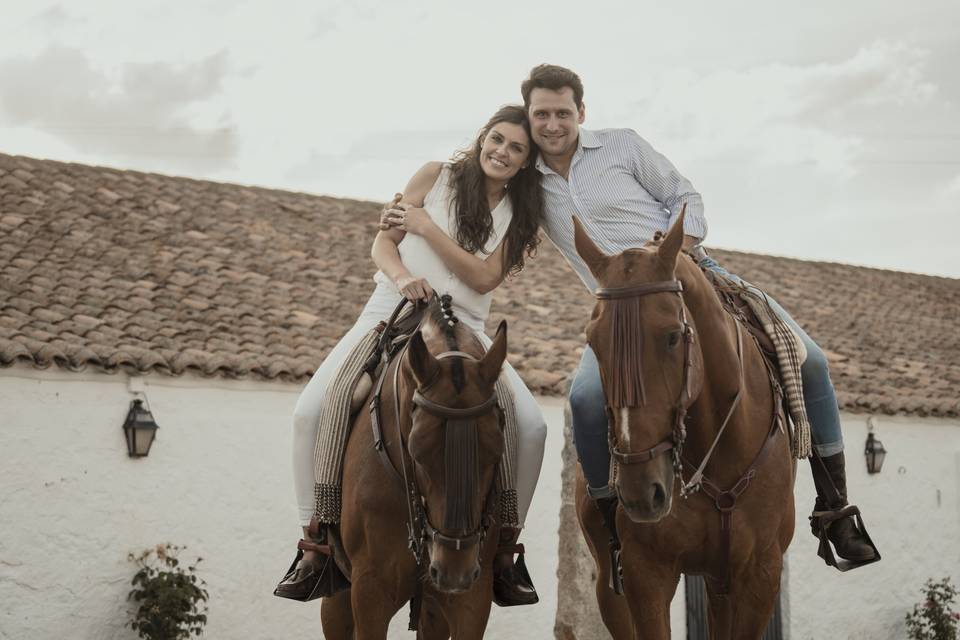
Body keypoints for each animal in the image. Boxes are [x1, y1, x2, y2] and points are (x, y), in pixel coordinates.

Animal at [318, 302, 510, 640]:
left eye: (496, 449)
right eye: (417, 453)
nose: (454, 572)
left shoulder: (473, 594)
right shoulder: (369, 590)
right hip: (340, 590)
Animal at [568, 215, 796, 640]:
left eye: (673, 336)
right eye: (593, 341)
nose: (641, 492)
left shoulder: (759, 575)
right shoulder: (645, 574)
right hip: (611, 585)